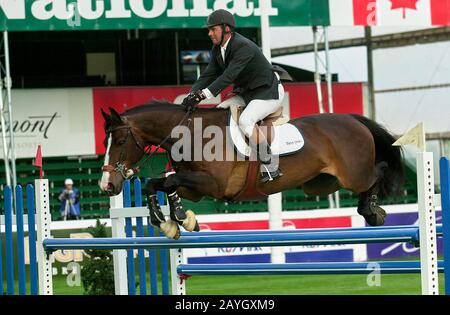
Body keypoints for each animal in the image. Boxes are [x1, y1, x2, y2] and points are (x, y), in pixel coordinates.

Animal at [101, 101, 404, 239]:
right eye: (106, 142)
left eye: (119, 141)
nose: (107, 185)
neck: (191, 134)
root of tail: (353, 119)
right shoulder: (195, 188)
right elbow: (159, 182)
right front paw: (175, 219)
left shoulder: (213, 185)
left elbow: (164, 180)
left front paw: (173, 219)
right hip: (322, 182)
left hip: (352, 175)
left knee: (378, 172)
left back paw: (373, 211)